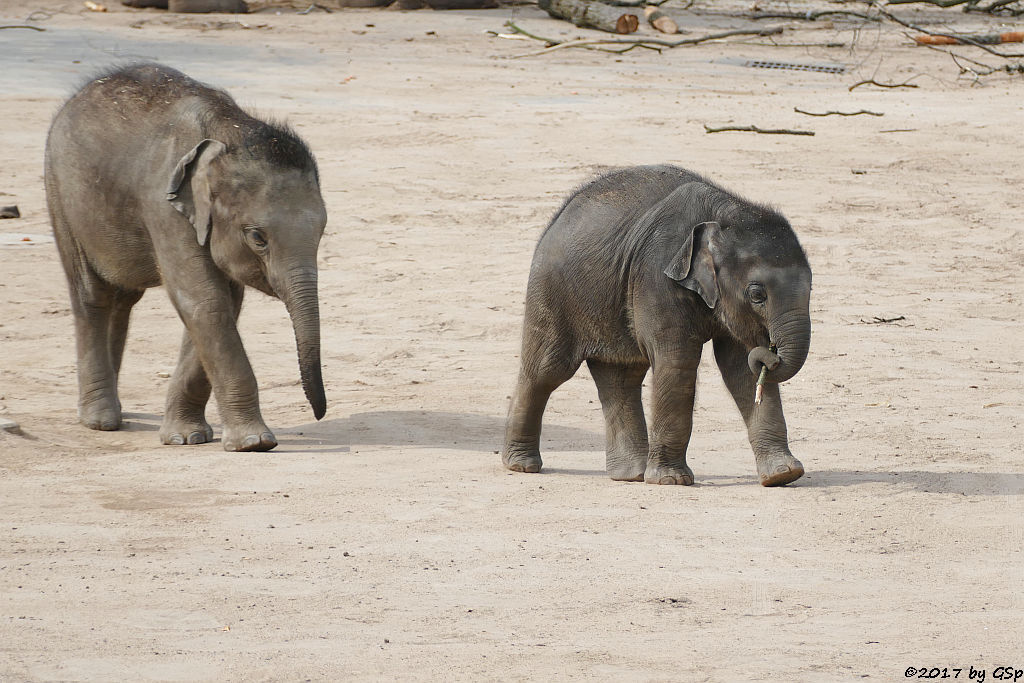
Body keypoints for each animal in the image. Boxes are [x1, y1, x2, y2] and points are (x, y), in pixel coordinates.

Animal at [46, 61, 325, 450]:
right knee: (92, 294)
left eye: (321, 232)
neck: (230, 130)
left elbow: (222, 303)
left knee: (123, 298)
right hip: (61, 194)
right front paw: (254, 443)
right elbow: (205, 301)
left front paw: (187, 437)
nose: (319, 414)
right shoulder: (164, 206)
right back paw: (100, 421)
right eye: (258, 238)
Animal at [499, 165, 811, 485]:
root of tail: (558, 216)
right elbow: (677, 362)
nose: (771, 350)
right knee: (546, 370)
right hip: (552, 291)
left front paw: (783, 475)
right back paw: (522, 465)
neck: (723, 213)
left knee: (622, 376)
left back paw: (631, 474)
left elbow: (739, 366)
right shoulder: (656, 278)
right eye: (757, 294)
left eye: (811, 289)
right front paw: (671, 481)